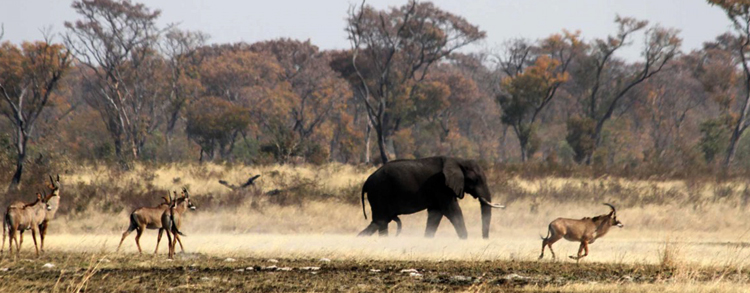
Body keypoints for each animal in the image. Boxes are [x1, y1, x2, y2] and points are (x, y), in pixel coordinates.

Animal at [358, 155, 506, 237]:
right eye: (475, 180)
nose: (484, 239)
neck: (458, 161)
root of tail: (367, 181)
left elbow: (436, 214)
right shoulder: (441, 185)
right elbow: (452, 210)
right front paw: (465, 239)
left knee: (381, 222)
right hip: (379, 193)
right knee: (380, 221)